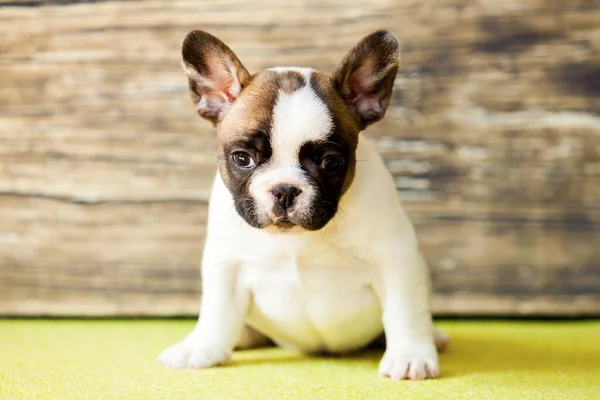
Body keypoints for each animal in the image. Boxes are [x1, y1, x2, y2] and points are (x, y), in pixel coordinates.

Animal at [157, 29, 448, 380]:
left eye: (330, 161)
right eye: (242, 158)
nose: (284, 190)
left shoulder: (395, 258)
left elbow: (404, 310)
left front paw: (410, 355)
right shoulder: (226, 263)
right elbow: (216, 309)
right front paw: (201, 348)